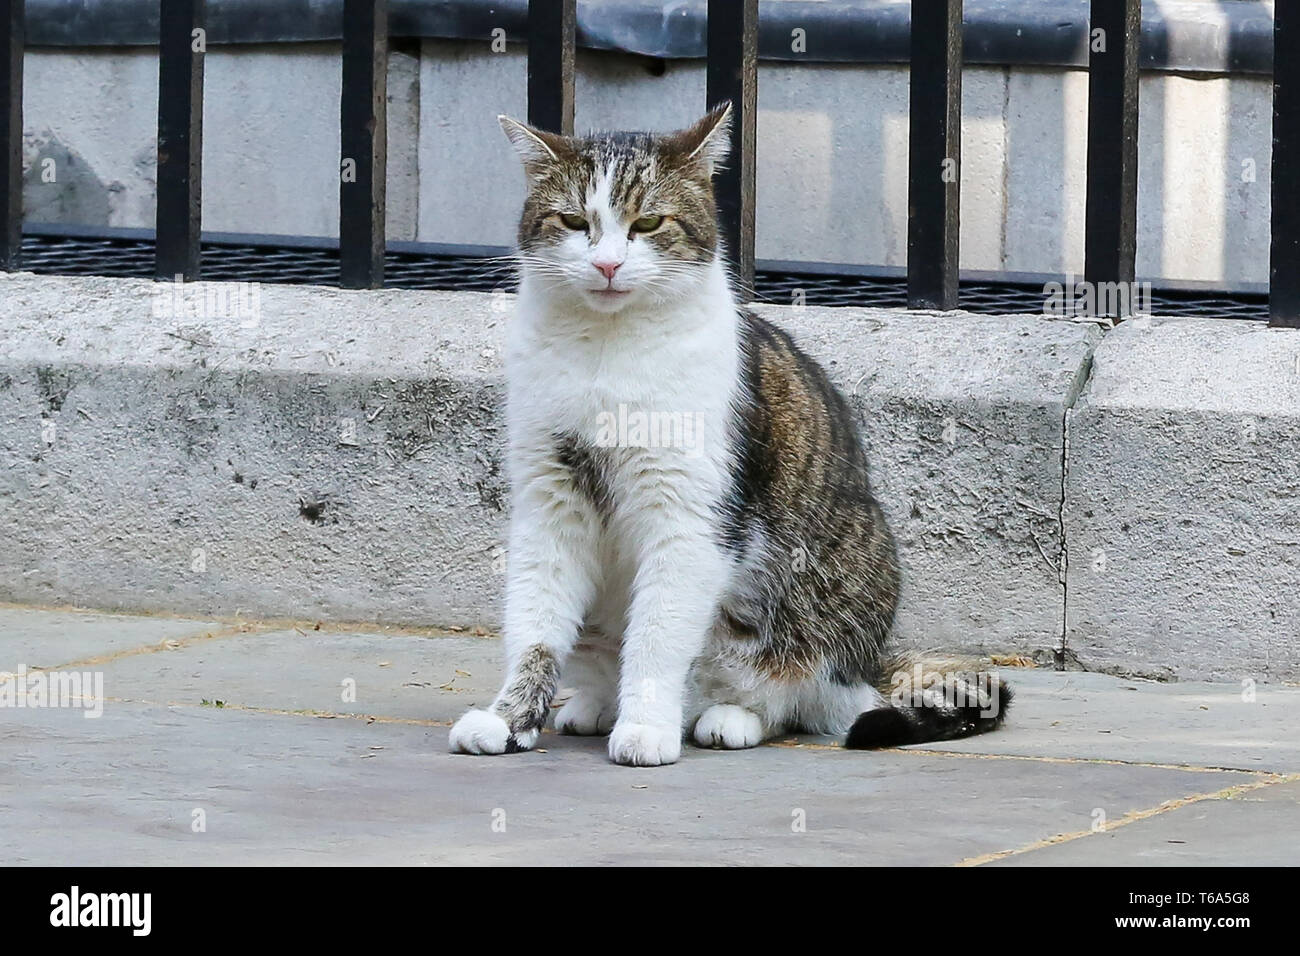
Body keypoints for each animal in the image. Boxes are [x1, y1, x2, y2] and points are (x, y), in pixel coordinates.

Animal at [447, 102, 1003, 770]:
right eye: (574, 221)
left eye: (649, 222)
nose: (606, 264)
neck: (605, 350)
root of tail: (874, 668)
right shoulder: (549, 499)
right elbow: (535, 627)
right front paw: (509, 720)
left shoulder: (687, 515)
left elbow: (658, 637)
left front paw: (647, 728)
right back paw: (597, 704)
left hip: (837, 583)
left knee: (794, 695)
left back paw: (722, 716)